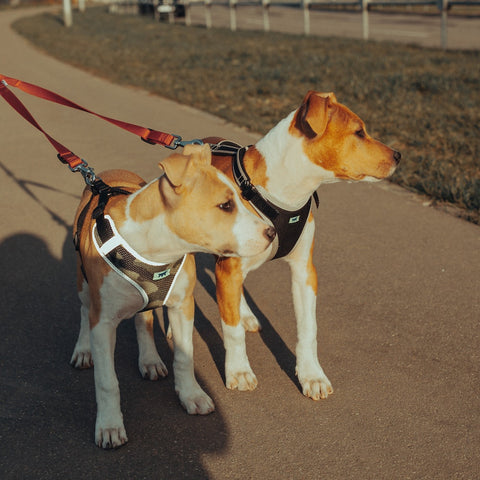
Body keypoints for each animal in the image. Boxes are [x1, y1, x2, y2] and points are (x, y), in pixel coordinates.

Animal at [69, 143, 276, 450]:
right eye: (225, 206)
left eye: (241, 198)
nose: (271, 232)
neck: (155, 249)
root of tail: (105, 175)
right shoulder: (103, 322)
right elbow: (107, 381)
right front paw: (109, 425)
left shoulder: (182, 306)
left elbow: (184, 357)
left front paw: (191, 395)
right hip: (84, 286)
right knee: (84, 311)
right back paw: (83, 350)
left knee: (144, 321)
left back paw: (150, 360)